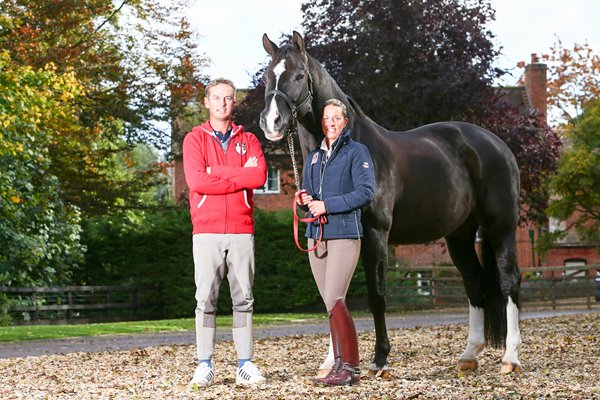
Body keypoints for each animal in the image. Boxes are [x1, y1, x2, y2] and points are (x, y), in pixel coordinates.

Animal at [260, 31, 524, 376]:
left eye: (299, 75)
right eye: (267, 76)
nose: (272, 122)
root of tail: (496, 144)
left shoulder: (375, 235)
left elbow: (377, 295)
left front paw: (380, 359)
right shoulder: (326, 238)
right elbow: (333, 294)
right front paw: (331, 362)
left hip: (500, 227)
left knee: (509, 280)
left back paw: (511, 357)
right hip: (460, 235)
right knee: (474, 283)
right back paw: (469, 355)